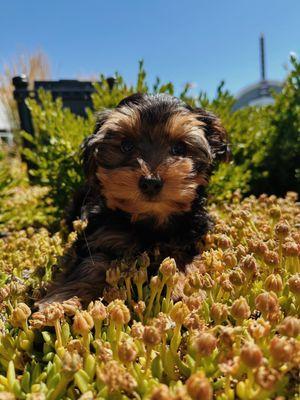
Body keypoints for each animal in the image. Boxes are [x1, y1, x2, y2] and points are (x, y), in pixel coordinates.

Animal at [41, 94, 230, 304]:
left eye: (179, 148)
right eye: (126, 145)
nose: (151, 182)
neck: (150, 222)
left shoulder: (193, 235)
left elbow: (186, 257)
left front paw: (184, 287)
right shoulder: (101, 234)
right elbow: (91, 264)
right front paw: (62, 300)